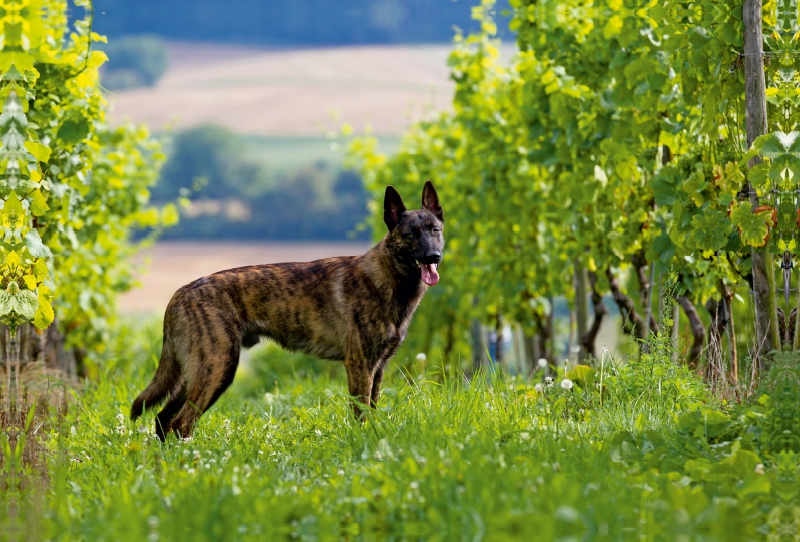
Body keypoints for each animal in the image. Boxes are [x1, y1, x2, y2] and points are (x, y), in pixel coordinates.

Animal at [131, 181, 444, 440]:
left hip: (195, 372)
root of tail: (181, 293)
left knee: (163, 420)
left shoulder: (377, 369)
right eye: (411, 234)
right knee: (181, 422)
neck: (386, 277)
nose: (434, 256)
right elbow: (361, 415)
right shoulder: (360, 366)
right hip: (217, 368)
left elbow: (373, 412)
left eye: (435, 230)